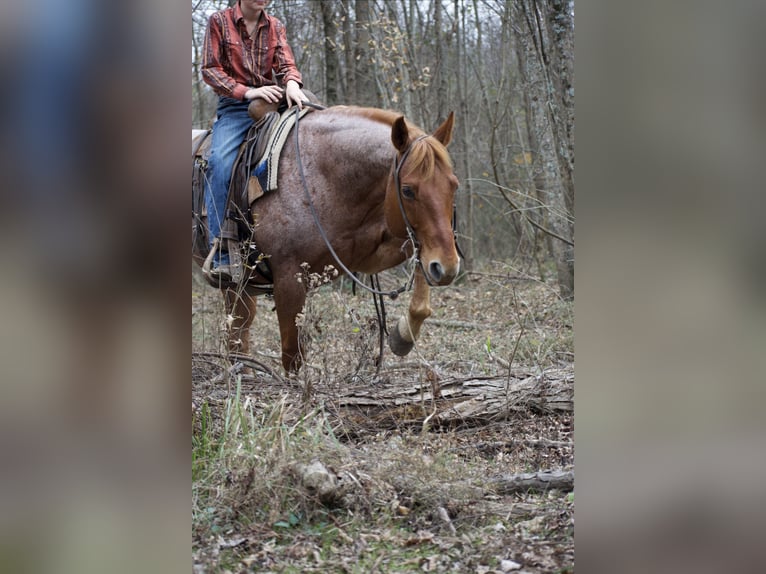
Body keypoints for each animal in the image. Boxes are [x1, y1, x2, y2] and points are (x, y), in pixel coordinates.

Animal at [192, 105, 460, 373]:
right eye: (407, 190)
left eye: (454, 185)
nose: (447, 266)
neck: (323, 178)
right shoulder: (289, 281)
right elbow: (293, 356)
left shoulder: (371, 253)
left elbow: (420, 278)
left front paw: (403, 336)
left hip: (239, 286)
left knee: (238, 333)